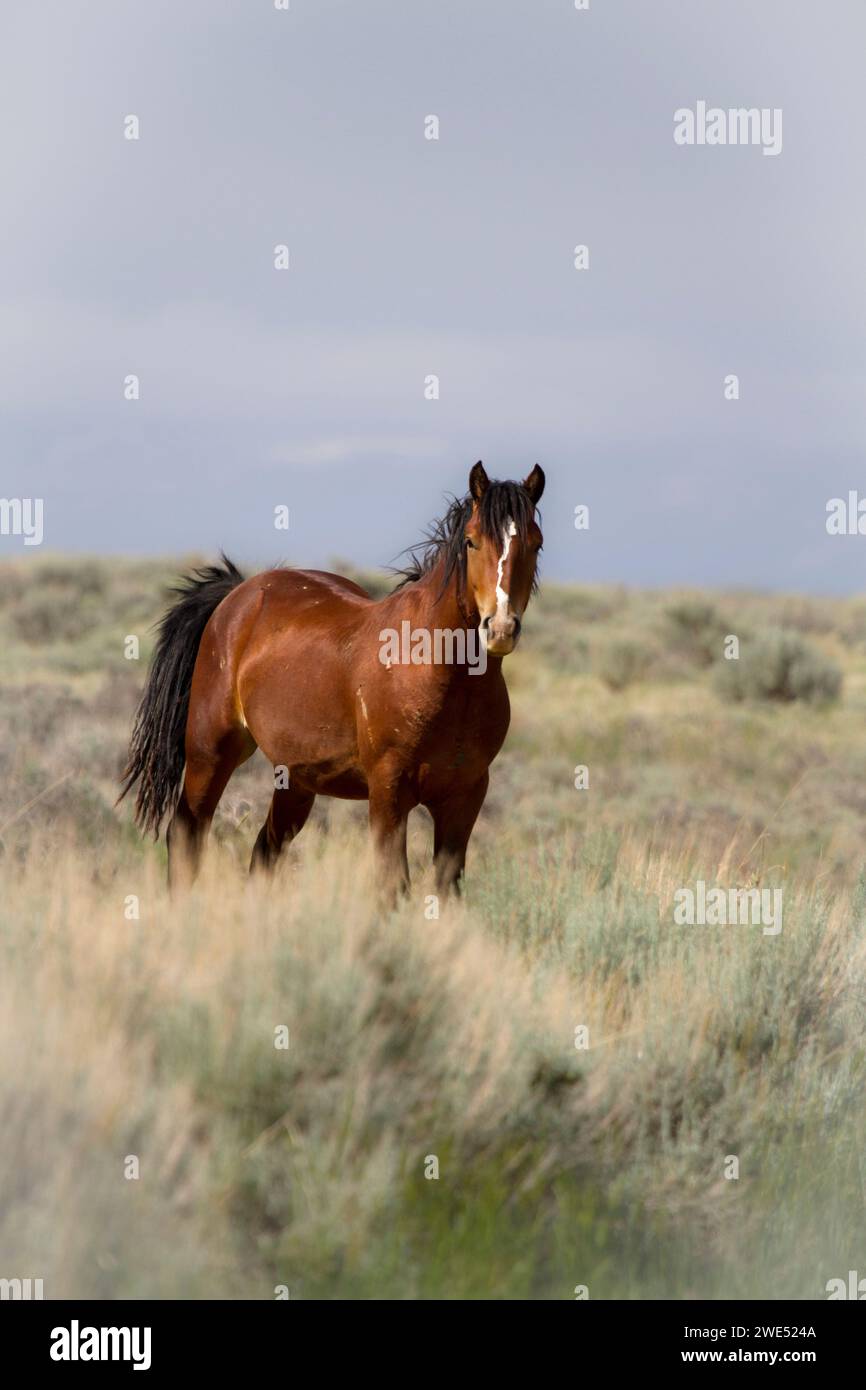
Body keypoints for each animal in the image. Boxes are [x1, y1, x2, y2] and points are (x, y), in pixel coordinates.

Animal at [119, 464, 544, 900]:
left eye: (536, 544)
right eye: (472, 541)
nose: (501, 628)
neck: (443, 679)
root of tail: (238, 594)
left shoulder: (465, 797)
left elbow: (446, 888)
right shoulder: (389, 793)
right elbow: (393, 886)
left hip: (296, 779)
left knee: (264, 851)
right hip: (211, 752)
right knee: (187, 834)